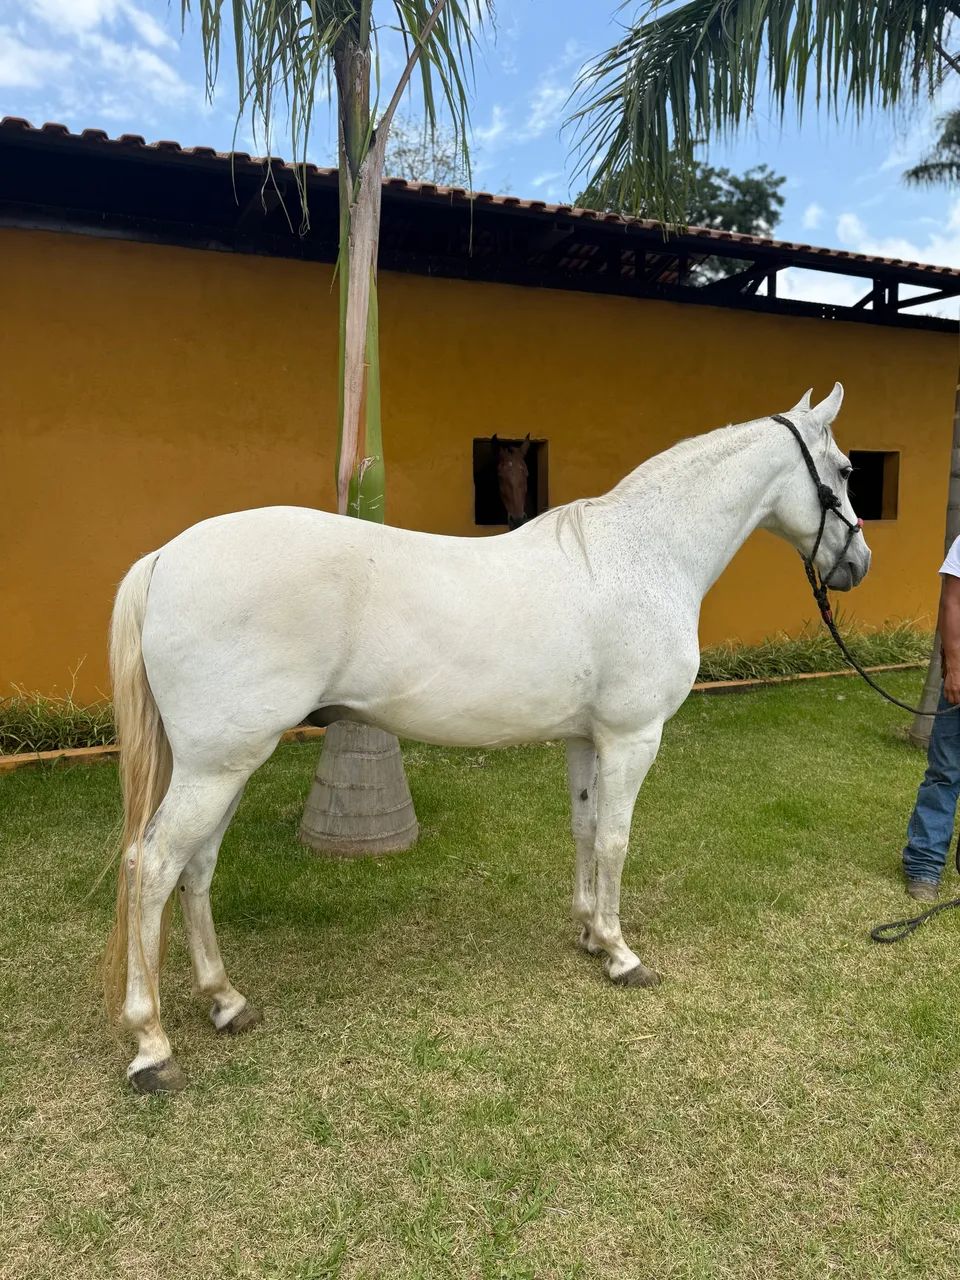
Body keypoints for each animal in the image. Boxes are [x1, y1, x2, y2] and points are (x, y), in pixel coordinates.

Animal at [104, 383, 869, 1093]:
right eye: (844, 468)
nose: (858, 564)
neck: (643, 555)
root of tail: (167, 556)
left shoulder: (584, 739)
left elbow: (584, 829)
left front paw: (589, 934)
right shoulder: (632, 737)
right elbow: (616, 838)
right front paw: (622, 954)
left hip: (224, 763)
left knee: (196, 869)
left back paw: (227, 1002)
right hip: (216, 766)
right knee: (154, 866)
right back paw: (153, 1047)